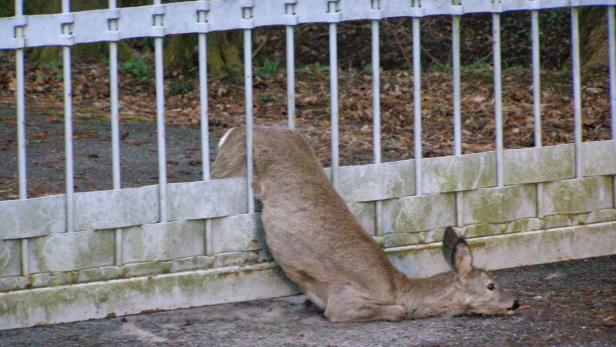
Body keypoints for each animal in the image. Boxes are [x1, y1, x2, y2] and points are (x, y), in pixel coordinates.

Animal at [212, 125, 520, 324]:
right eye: (491, 285)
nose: (515, 302)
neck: (400, 291)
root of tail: (235, 130)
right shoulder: (344, 300)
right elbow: (396, 313)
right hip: (227, 167)